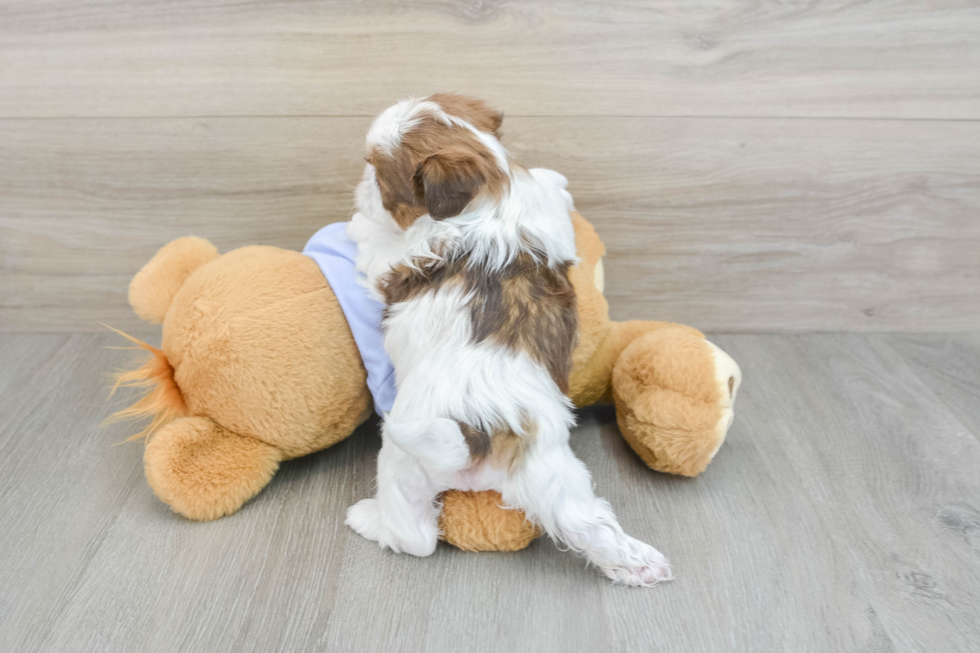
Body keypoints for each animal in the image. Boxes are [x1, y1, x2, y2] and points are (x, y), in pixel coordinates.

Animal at [344, 93, 672, 584]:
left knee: (416, 538)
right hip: (556, 477)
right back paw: (641, 565)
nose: (360, 184)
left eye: (378, 174)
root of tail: (484, 438)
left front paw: (356, 224)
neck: (492, 195)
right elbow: (549, 193)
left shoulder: (397, 255)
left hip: (405, 462)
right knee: (589, 525)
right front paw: (556, 179)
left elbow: (376, 244)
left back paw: (368, 520)